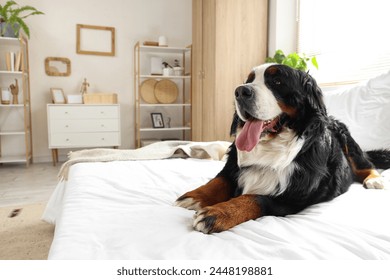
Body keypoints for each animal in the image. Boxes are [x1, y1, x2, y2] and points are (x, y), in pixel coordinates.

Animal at [177, 63, 390, 234]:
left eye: (277, 81)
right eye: (249, 80)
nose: (240, 91)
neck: (270, 147)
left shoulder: (293, 197)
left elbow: (254, 199)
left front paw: (218, 213)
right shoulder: (233, 165)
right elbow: (219, 180)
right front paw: (194, 197)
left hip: (348, 140)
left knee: (365, 165)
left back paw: (375, 180)